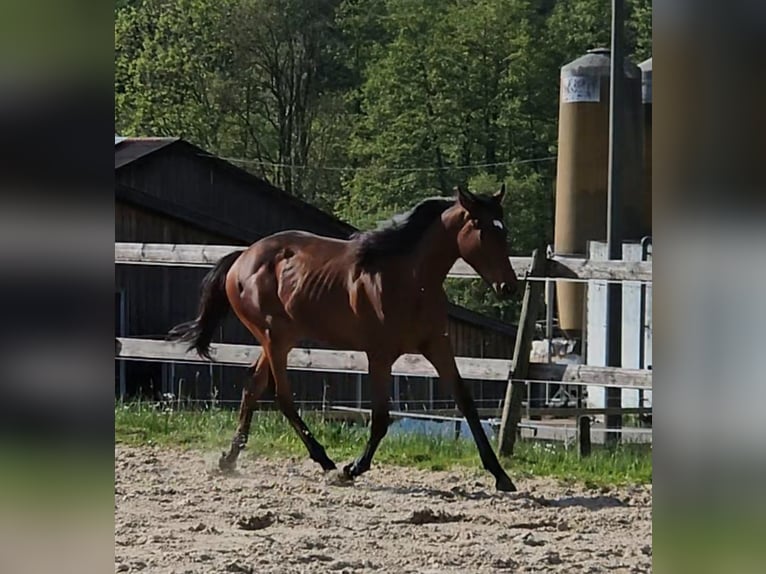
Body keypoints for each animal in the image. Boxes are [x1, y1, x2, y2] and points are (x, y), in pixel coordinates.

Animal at [170, 184, 520, 490]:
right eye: (481, 228)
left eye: (504, 230)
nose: (508, 287)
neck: (410, 280)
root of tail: (243, 257)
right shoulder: (379, 354)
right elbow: (380, 417)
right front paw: (352, 469)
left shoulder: (437, 345)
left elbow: (466, 403)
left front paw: (501, 476)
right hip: (274, 337)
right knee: (281, 396)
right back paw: (325, 462)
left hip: (280, 337)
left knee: (253, 387)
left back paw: (229, 459)